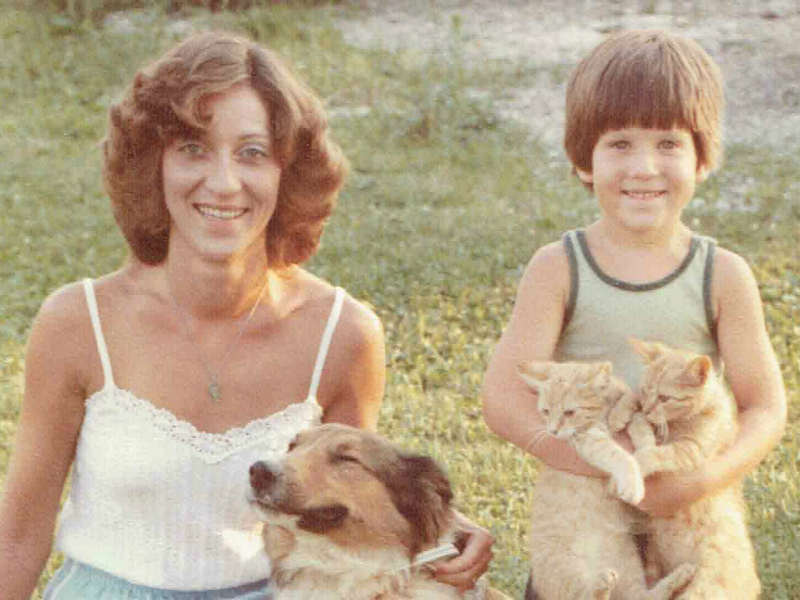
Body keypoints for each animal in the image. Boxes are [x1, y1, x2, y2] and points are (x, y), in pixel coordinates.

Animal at [520, 360, 692, 600]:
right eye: (545, 411)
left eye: (569, 412)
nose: (552, 431)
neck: (599, 414)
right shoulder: (588, 439)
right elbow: (617, 454)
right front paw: (633, 482)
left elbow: (637, 418)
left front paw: (644, 443)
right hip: (564, 570)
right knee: (586, 595)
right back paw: (601, 584)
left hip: (628, 566)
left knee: (642, 597)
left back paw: (680, 575)